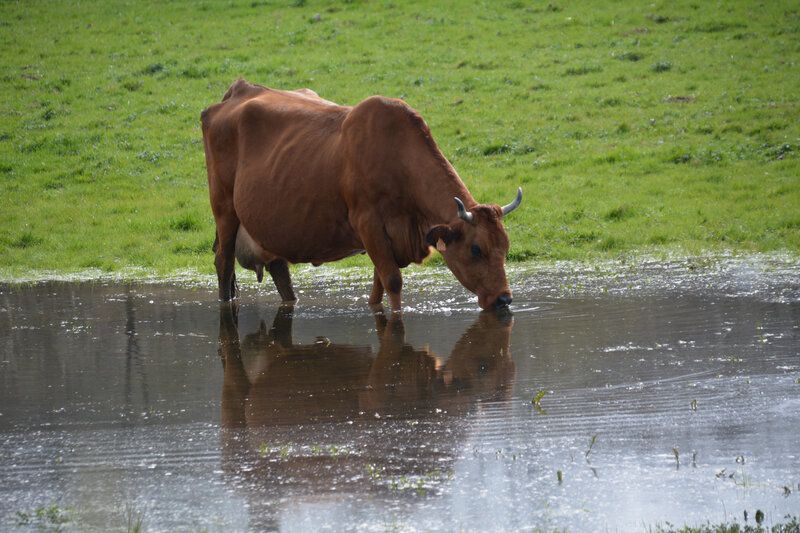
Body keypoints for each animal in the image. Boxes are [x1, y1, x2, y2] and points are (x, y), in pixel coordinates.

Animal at [203, 78, 520, 312]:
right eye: (476, 249)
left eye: (505, 247)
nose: (504, 299)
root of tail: (238, 90)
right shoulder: (368, 223)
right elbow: (392, 280)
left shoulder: (388, 237)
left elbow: (379, 285)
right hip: (224, 208)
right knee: (224, 262)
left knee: (280, 271)